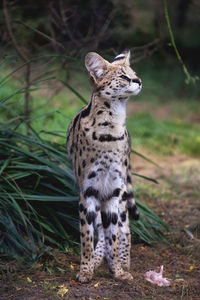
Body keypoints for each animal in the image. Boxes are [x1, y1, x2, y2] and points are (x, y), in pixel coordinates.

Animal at [67, 48, 142, 282]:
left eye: (134, 74)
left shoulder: (114, 191)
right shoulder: (88, 190)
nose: (139, 81)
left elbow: (114, 237)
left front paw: (117, 269)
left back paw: (123, 262)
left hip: (122, 194)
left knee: (125, 227)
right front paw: (86, 270)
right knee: (100, 229)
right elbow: (86, 236)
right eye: (124, 77)